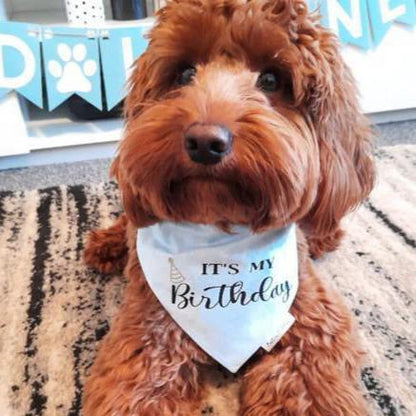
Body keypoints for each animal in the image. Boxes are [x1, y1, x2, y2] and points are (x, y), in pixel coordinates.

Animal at [81, 1, 374, 414]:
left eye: (271, 80)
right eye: (185, 73)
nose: (205, 142)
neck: (220, 233)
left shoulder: (311, 322)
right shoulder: (148, 331)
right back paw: (106, 244)